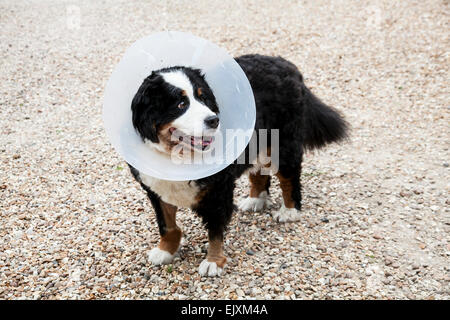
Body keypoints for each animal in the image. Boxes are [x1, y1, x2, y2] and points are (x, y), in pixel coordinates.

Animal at [126, 53, 348, 276]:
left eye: (203, 98)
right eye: (181, 104)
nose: (213, 120)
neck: (177, 156)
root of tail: (285, 63)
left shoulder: (219, 190)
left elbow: (215, 230)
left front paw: (214, 261)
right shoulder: (156, 190)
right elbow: (167, 225)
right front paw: (165, 251)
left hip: (283, 145)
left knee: (289, 179)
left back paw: (289, 211)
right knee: (259, 172)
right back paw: (255, 200)